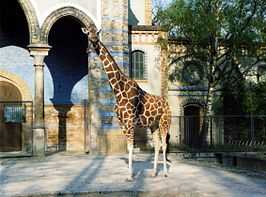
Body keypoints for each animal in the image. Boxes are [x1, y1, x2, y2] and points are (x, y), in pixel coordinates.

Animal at [82, 26, 171, 182]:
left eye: (96, 33)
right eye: (88, 33)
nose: (93, 40)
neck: (118, 90)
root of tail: (167, 104)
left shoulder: (130, 120)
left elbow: (130, 147)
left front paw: (130, 176)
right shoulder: (121, 122)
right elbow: (129, 147)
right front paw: (131, 174)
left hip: (164, 122)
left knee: (164, 144)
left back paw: (165, 173)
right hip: (153, 124)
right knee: (157, 144)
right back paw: (154, 172)